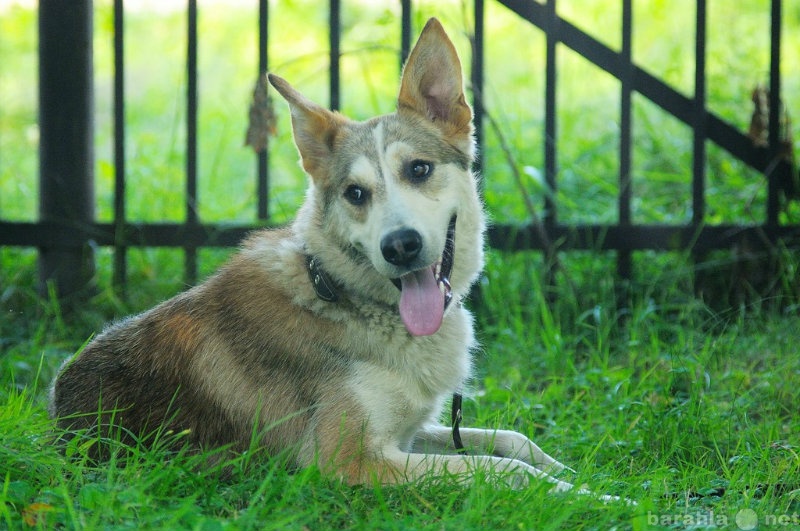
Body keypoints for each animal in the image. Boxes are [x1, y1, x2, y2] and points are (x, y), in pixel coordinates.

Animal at [50, 18, 588, 496]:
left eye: (418, 169)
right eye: (355, 193)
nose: (401, 246)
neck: (340, 292)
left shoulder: (410, 432)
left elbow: (511, 440)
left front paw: (578, 472)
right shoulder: (351, 458)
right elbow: (505, 470)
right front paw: (590, 496)